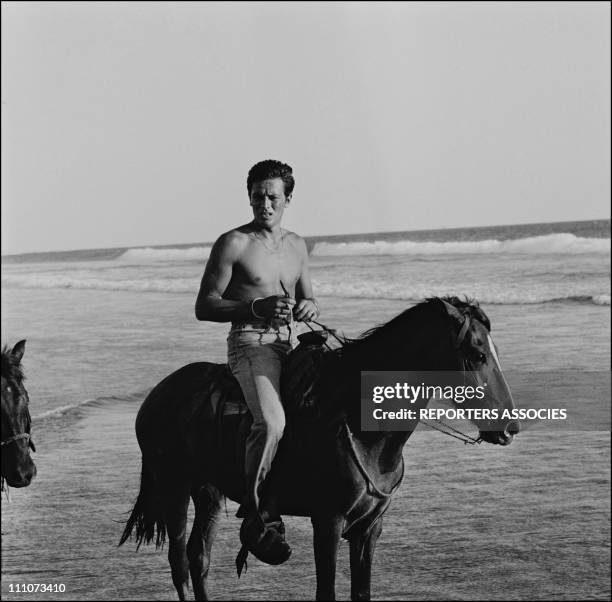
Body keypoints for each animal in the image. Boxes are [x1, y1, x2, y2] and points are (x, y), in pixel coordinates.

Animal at [120, 298, 520, 596]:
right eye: (478, 354)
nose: (510, 428)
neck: (359, 423)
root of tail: (157, 395)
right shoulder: (327, 521)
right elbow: (326, 591)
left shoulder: (368, 528)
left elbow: (361, 591)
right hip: (174, 487)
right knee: (180, 563)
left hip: (208, 491)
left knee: (198, 556)